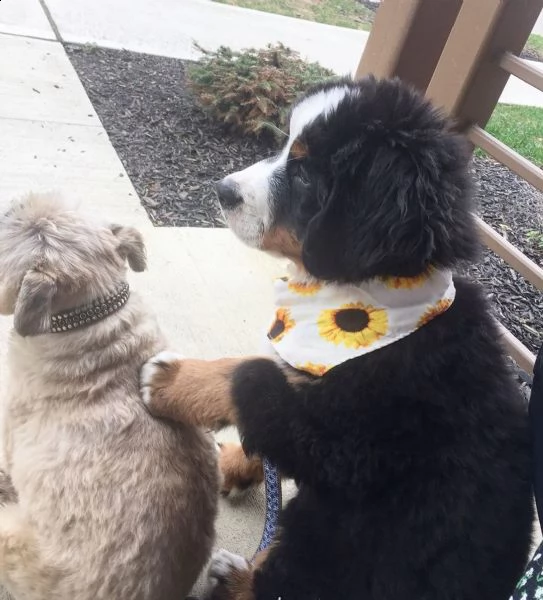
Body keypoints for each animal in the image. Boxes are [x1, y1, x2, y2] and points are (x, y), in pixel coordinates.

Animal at [141, 77, 536, 596]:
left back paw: (237, 577)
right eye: (286, 145)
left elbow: (252, 378)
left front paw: (170, 381)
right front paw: (235, 464)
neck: (366, 302)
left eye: (307, 177)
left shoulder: (344, 444)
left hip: (338, 535)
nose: (224, 190)